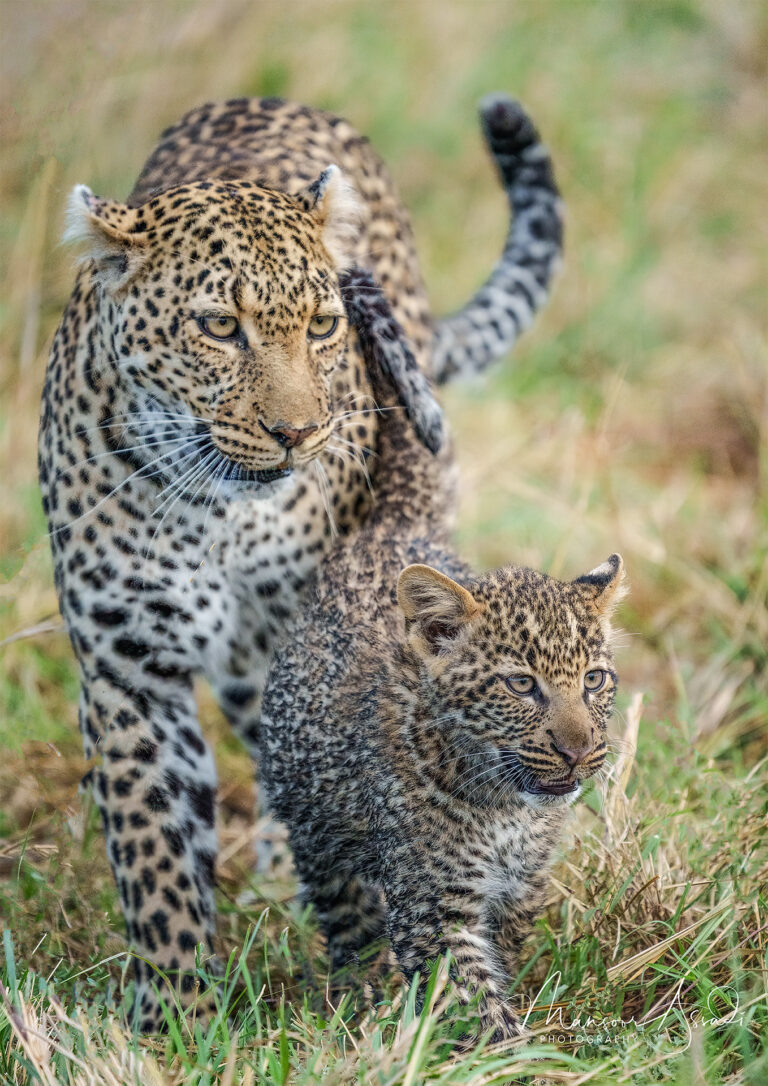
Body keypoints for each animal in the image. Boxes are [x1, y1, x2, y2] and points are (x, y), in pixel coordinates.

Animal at [39, 95, 560, 1025]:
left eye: (321, 326)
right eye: (220, 327)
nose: (300, 432)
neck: (214, 510)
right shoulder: (128, 669)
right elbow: (154, 854)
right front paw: (175, 1017)